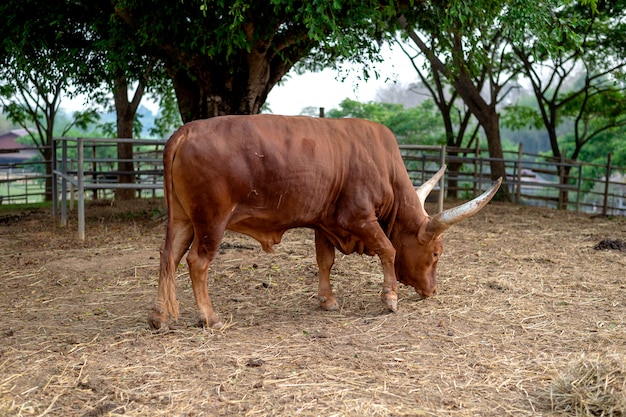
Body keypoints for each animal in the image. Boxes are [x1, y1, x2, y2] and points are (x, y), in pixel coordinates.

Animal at [147, 114, 502, 328]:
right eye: (436, 254)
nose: (432, 291)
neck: (381, 163)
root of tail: (185, 131)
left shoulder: (325, 223)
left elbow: (325, 261)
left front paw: (327, 300)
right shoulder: (359, 218)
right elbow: (388, 250)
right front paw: (389, 298)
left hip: (184, 220)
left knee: (169, 257)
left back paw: (160, 316)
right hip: (211, 222)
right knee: (196, 262)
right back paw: (210, 317)